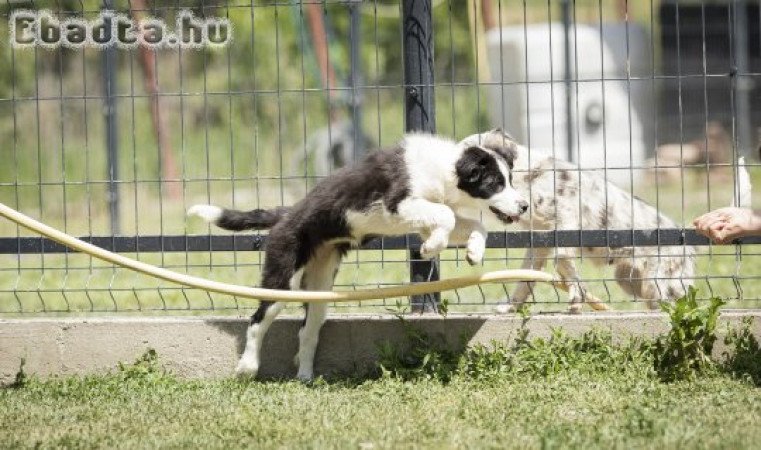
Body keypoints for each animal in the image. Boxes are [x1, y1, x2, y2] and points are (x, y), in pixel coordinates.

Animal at [187, 134, 524, 380]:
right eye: (495, 183)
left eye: (510, 180)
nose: (523, 206)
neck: (444, 169)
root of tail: (287, 214)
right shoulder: (398, 204)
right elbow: (447, 216)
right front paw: (431, 247)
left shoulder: (425, 213)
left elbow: (471, 223)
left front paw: (472, 251)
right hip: (282, 277)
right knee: (258, 320)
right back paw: (247, 368)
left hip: (320, 287)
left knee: (307, 330)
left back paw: (305, 377)